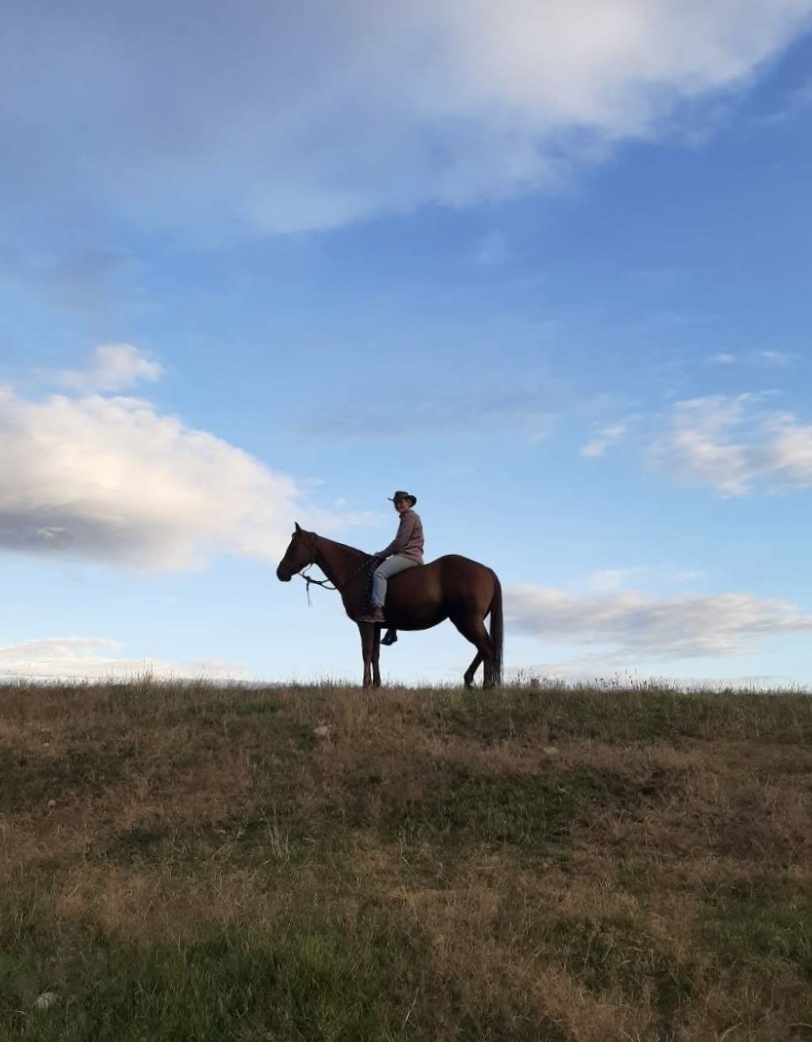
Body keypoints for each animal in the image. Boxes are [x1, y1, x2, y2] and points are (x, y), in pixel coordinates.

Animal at [276, 524, 503, 689]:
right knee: (484, 648)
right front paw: (377, 685)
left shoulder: (365, 624)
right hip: (470, 621)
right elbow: (375, 655)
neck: (357, 573)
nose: (280, 572)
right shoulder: (376, 626)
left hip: (467, 620)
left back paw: (486, 685)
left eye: (293, 546)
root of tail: (486, 570)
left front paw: (365, 686)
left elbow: (366, 653)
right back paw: (472, 680)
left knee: (487, 648)